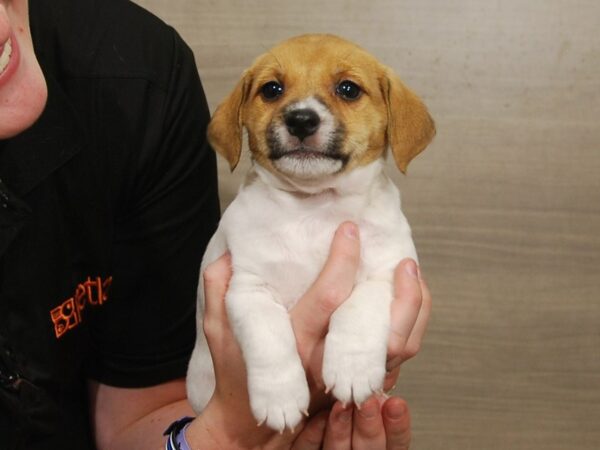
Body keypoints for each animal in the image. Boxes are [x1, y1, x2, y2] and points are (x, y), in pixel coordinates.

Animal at [185, 33, 434, 430]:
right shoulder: (248, 289)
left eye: (348, 89)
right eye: (272, 89)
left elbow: (358, 311)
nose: (301, 120)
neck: (314, 208)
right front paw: (280, 398)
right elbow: (270, 336)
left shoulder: (388, 272)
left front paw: (352, 369)